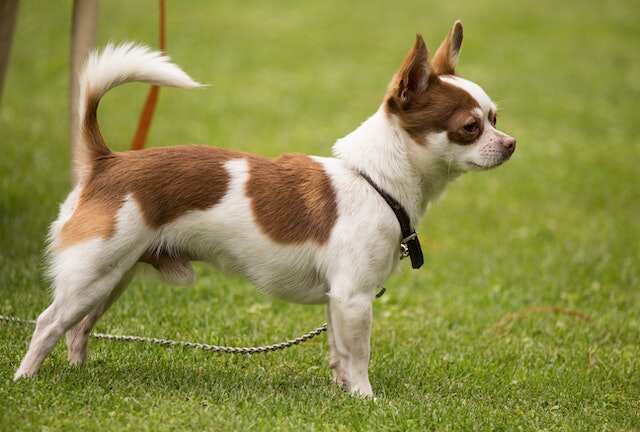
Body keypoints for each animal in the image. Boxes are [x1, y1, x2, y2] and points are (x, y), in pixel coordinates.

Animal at [15, 22, 516, 396]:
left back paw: (80, 373)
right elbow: (359, 356)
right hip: (93, 272)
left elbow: (338, 351)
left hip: (110, 277)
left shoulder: (338, 300)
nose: (511, 143)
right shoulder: (354, 297)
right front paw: (366, 399)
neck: (375, 181)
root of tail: (107, 160)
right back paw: (25, 379)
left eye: (495, 117)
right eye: (470, 127)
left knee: (79, 328)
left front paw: (342, 394)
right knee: (48, 323)